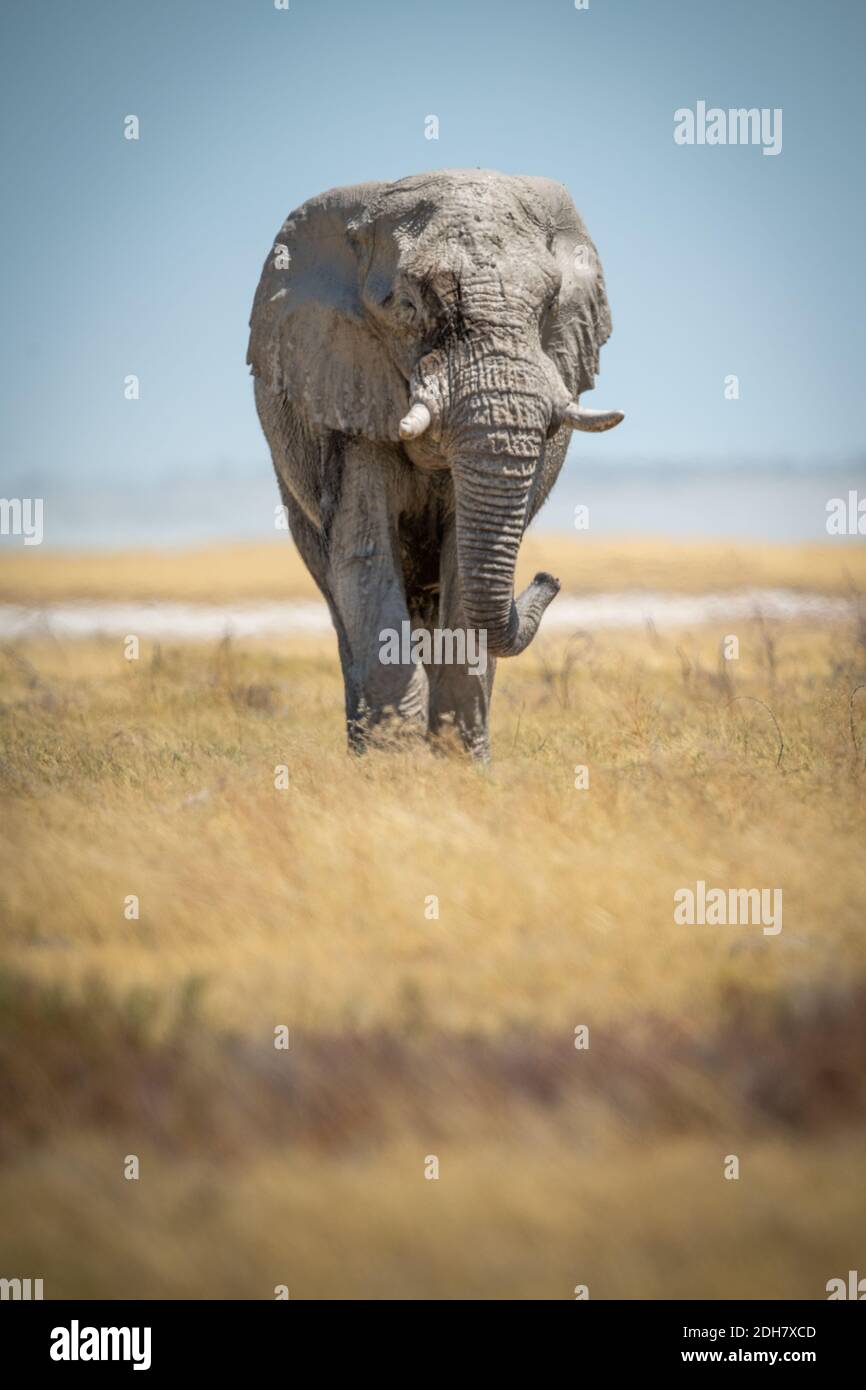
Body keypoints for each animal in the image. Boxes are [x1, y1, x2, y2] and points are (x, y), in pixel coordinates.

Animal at [247, 169, 622, 759]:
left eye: (548, 306)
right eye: (406, 307)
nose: (550, 577)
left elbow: (461, 560)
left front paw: (457, 763)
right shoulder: (351, 386)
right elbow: (364, 553)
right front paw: (395, 765)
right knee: (337, 592)